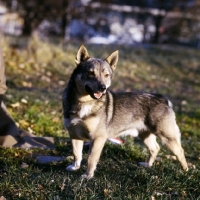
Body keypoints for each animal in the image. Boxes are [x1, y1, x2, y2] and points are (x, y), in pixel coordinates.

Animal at [62, 45, 188, 178]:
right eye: (90, 73)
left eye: (106, 75)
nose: (103, 88)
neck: (83, 102)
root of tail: (163, 99)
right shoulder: (74, 135)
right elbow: (77, 154)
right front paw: (75, 167)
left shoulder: (98, 138)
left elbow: (91, 159)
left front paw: (88, 176)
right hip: (144, 134)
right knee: (155, 148)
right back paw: (147, 165)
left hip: (167, 137)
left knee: (180, 151)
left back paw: (185, 171)